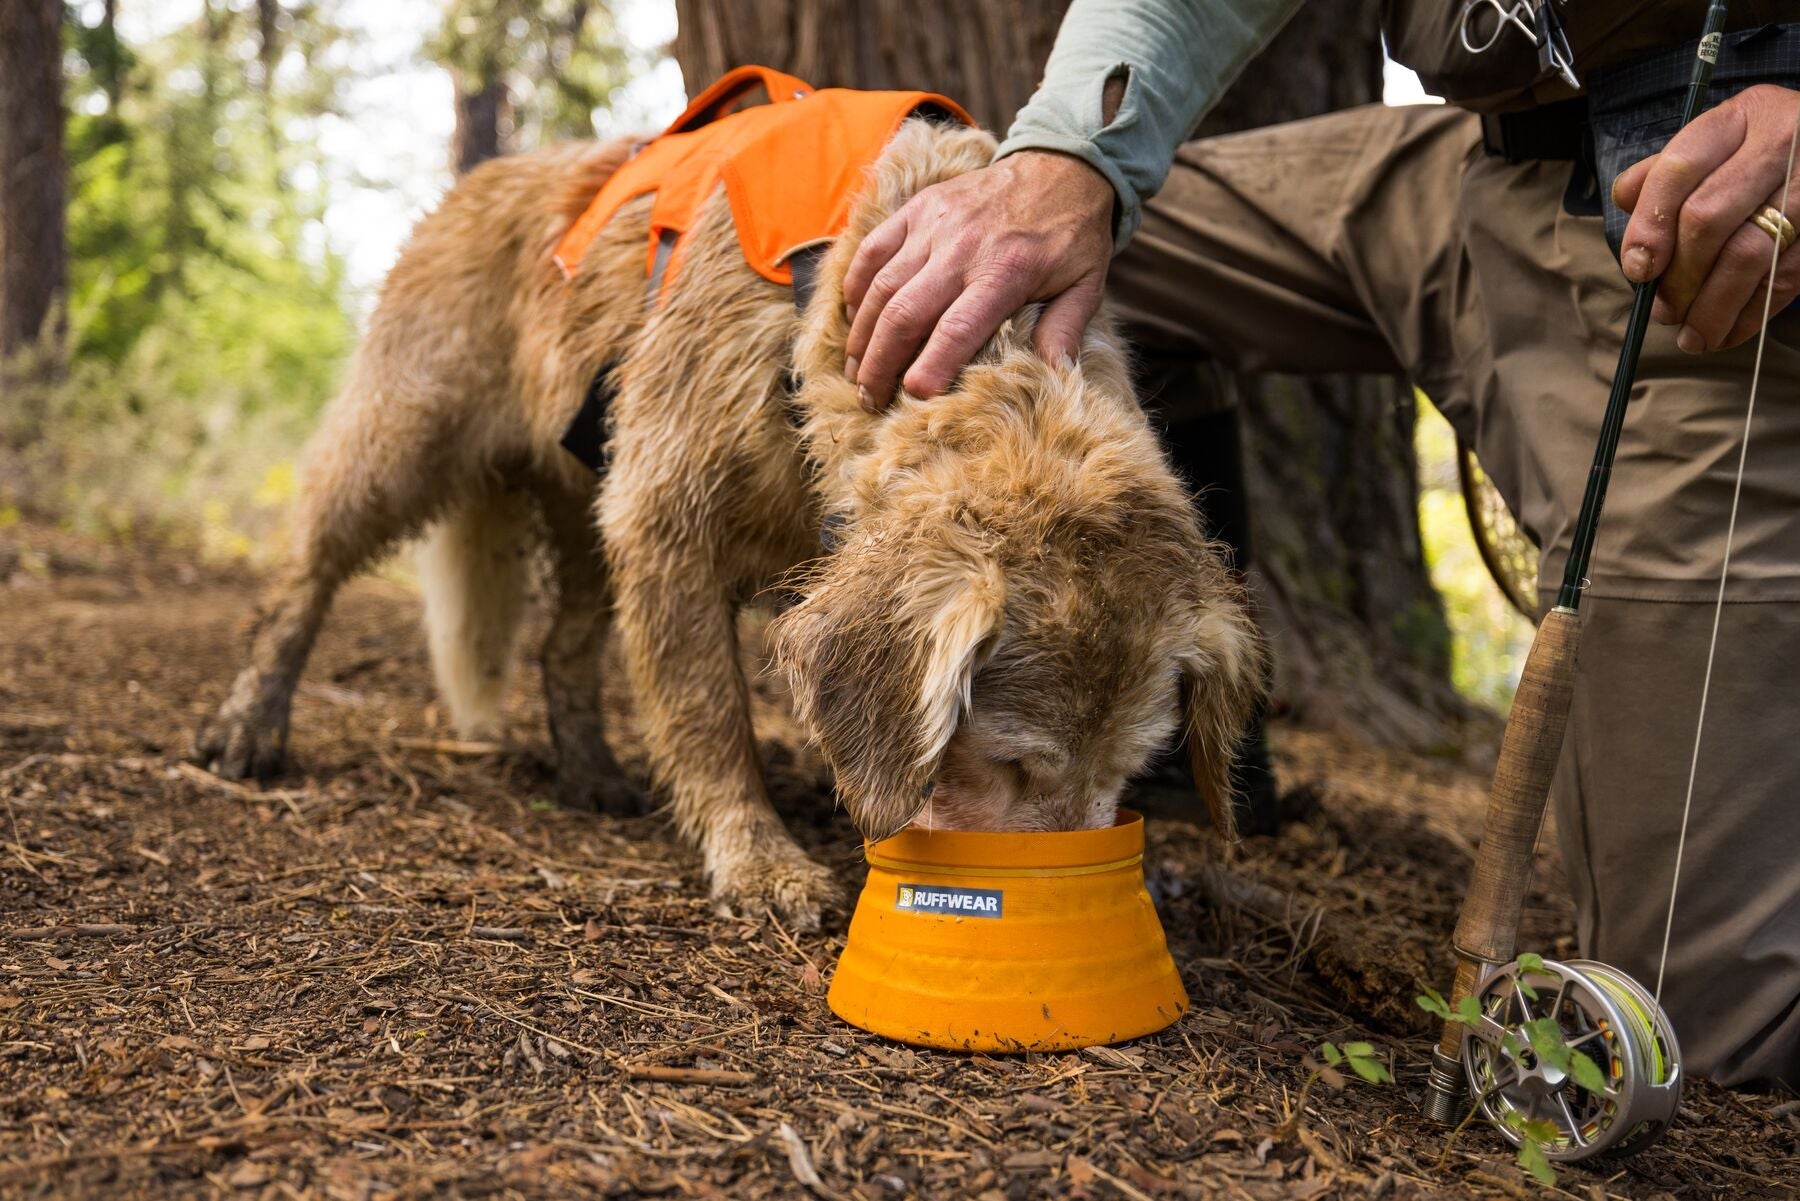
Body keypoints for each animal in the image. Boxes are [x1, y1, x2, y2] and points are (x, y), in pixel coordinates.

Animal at [197, 112, 1267, 929]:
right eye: (1012, 764)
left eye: (1130, 771)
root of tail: (482, 174)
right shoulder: (666, 522)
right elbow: (711, 717)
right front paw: (759, 860)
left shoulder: (656, 522)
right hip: (406, 439)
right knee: (303, 575)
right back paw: (247, 721)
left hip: (588, 509)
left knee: (563, 647)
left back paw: (588, 770)